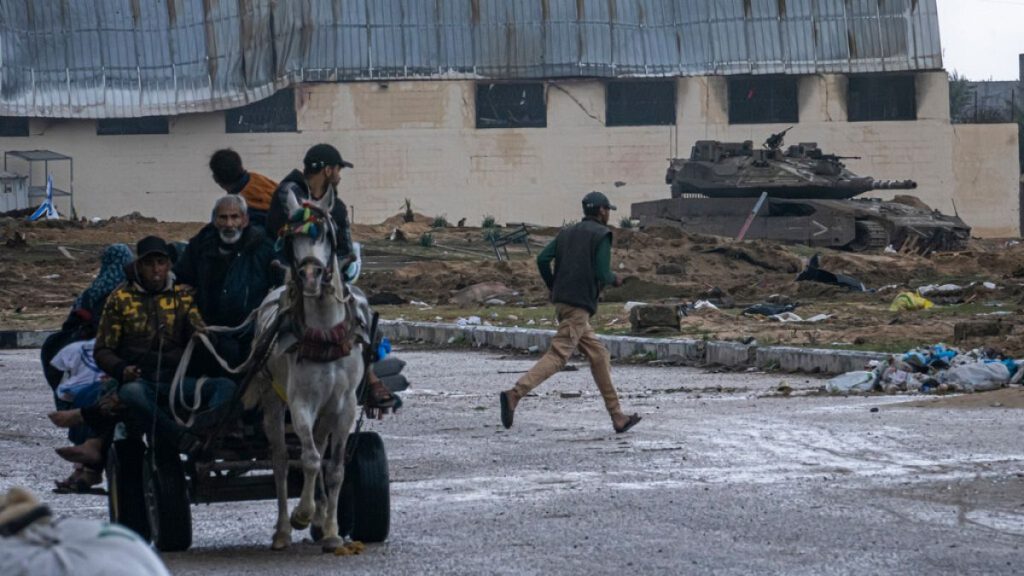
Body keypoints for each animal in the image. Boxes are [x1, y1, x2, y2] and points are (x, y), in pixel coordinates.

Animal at [241, 187, 366, 545]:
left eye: (323, 233)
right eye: (291, 238)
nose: (310, 277)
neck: (325, 334)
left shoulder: (344, 405)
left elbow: (334, 467)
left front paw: (332, 531)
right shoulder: (300, 403)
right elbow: (308, 459)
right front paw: (302, 514)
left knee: (320, 448)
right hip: (272, 401)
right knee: (282, 460)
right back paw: (283, 529)